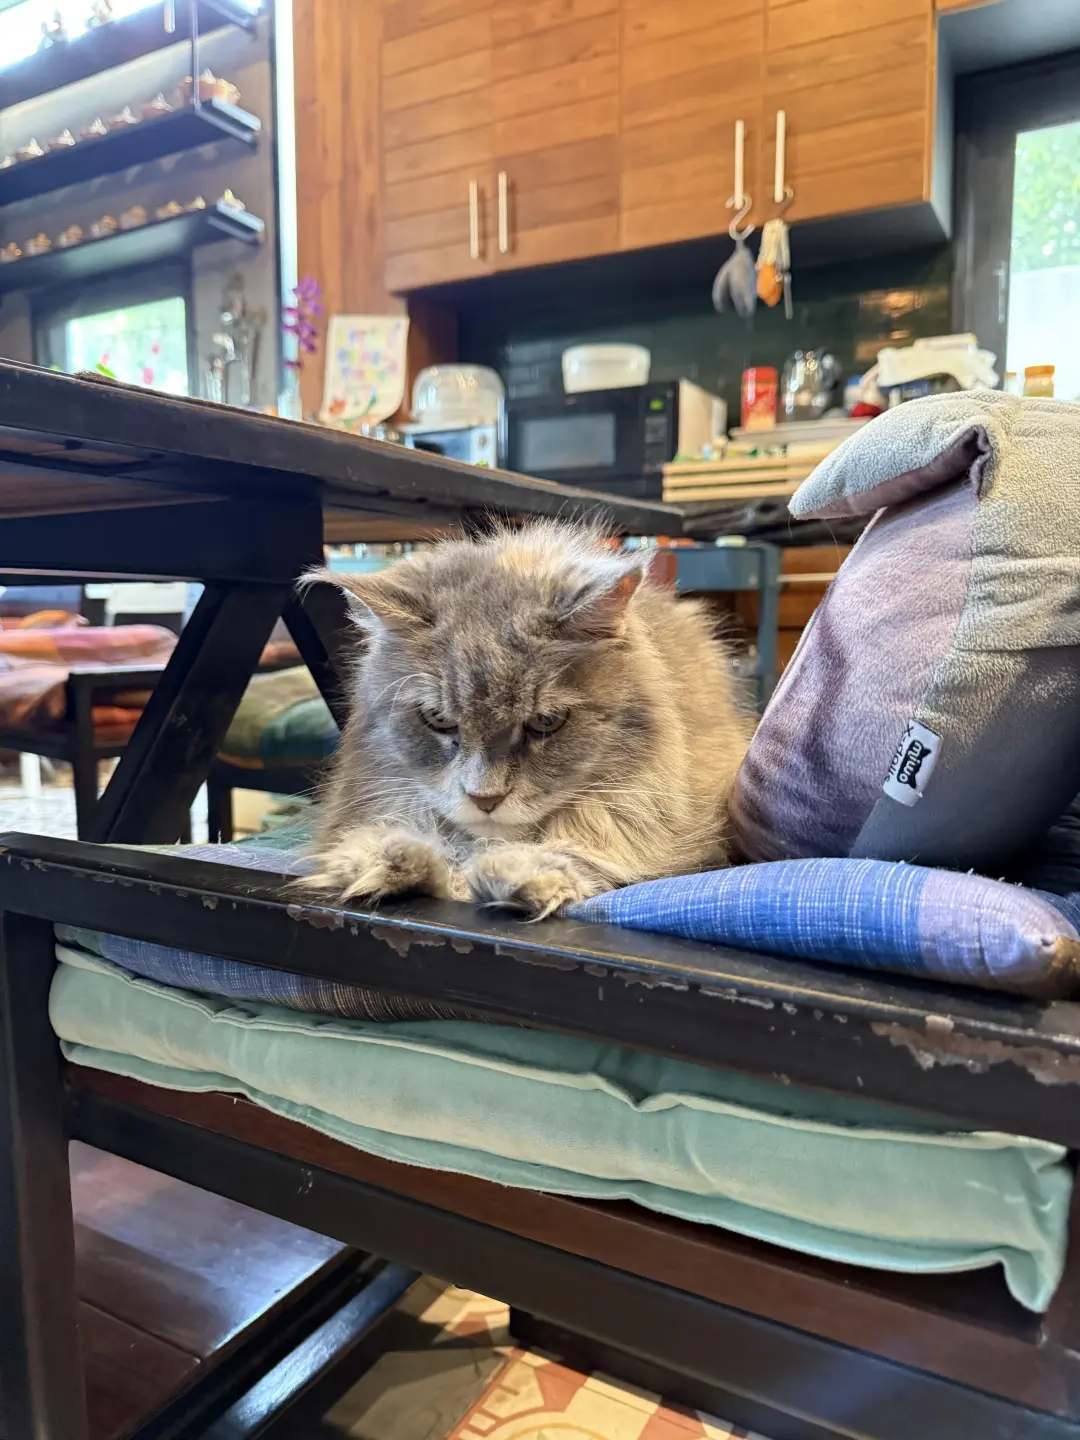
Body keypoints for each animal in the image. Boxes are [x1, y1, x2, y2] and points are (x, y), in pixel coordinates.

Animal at [305, 522, 754, 918]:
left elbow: (589, 851)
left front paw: (519, 873)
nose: (485, 800)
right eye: (438, 719)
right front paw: (386, 859)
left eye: (547, 722)